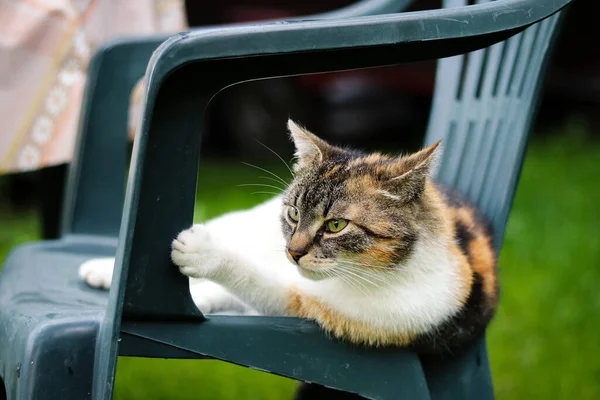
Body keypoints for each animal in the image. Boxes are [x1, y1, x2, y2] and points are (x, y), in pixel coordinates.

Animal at [81, 119, 502, 354]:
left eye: (336, 225)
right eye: (294, 213)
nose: (293, 251)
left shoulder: (318, 309)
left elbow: (257, 284)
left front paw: (206, 256)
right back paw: (102, 268)